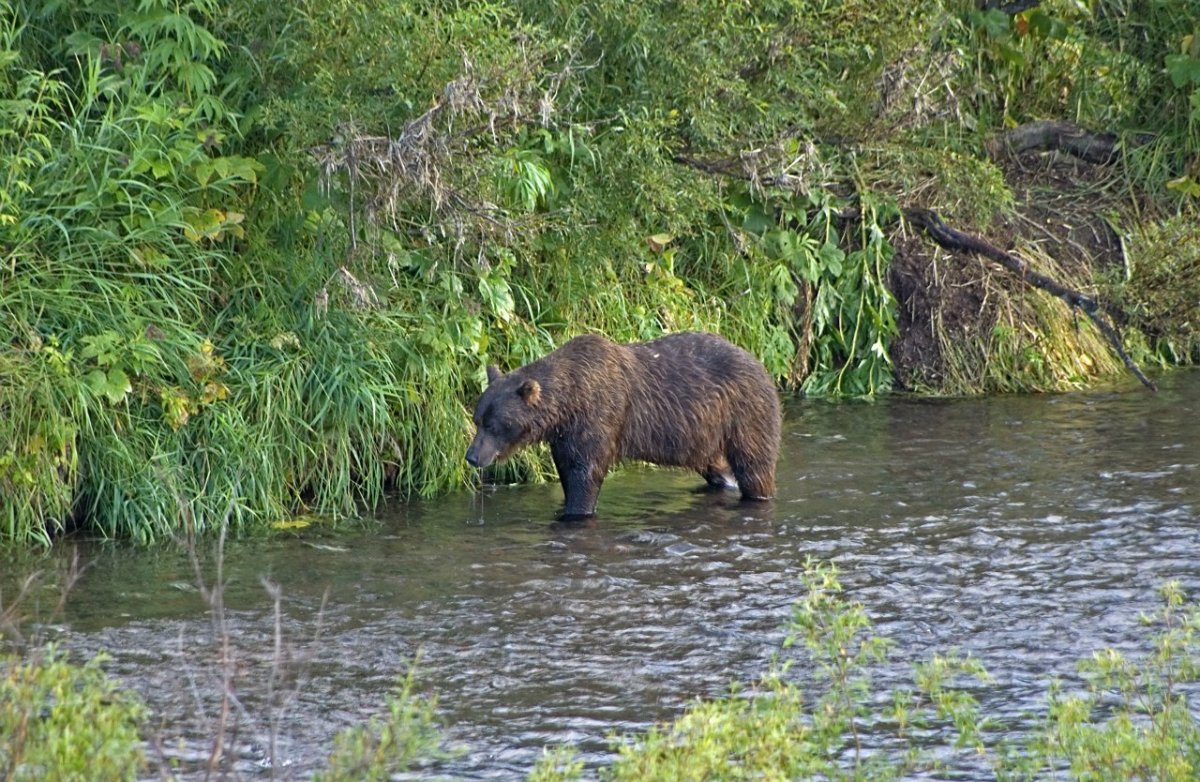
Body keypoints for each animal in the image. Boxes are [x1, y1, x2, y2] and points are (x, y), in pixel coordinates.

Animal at [463, 331, 782, 518]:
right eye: (478, 420)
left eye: (494, 426)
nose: (472, 456)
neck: (570, 403)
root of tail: (762, 363)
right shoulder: (565, 436)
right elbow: (568, 469)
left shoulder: (599, 418)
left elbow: (586, 475)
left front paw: (576, 510)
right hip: (703, 435)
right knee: (716, 465)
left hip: (745, 413)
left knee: (754, 465)